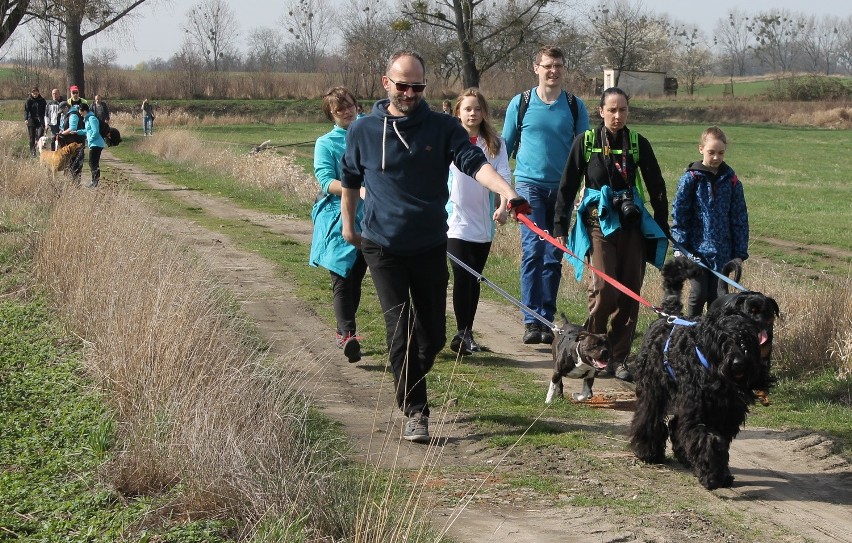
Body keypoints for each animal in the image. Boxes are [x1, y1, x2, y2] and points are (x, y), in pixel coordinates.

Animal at [624, 258, 772, 490]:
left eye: (746, 340)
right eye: (723, 341)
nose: (738, 363)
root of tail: (670, 316)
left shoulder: (726, 416)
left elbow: (719, 443)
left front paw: (721, 474)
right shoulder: (698, 412)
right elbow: (709, 441)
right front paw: (712, 476)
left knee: (675, 424)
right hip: (653, 389)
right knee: (649, 418)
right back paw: (648, 451)